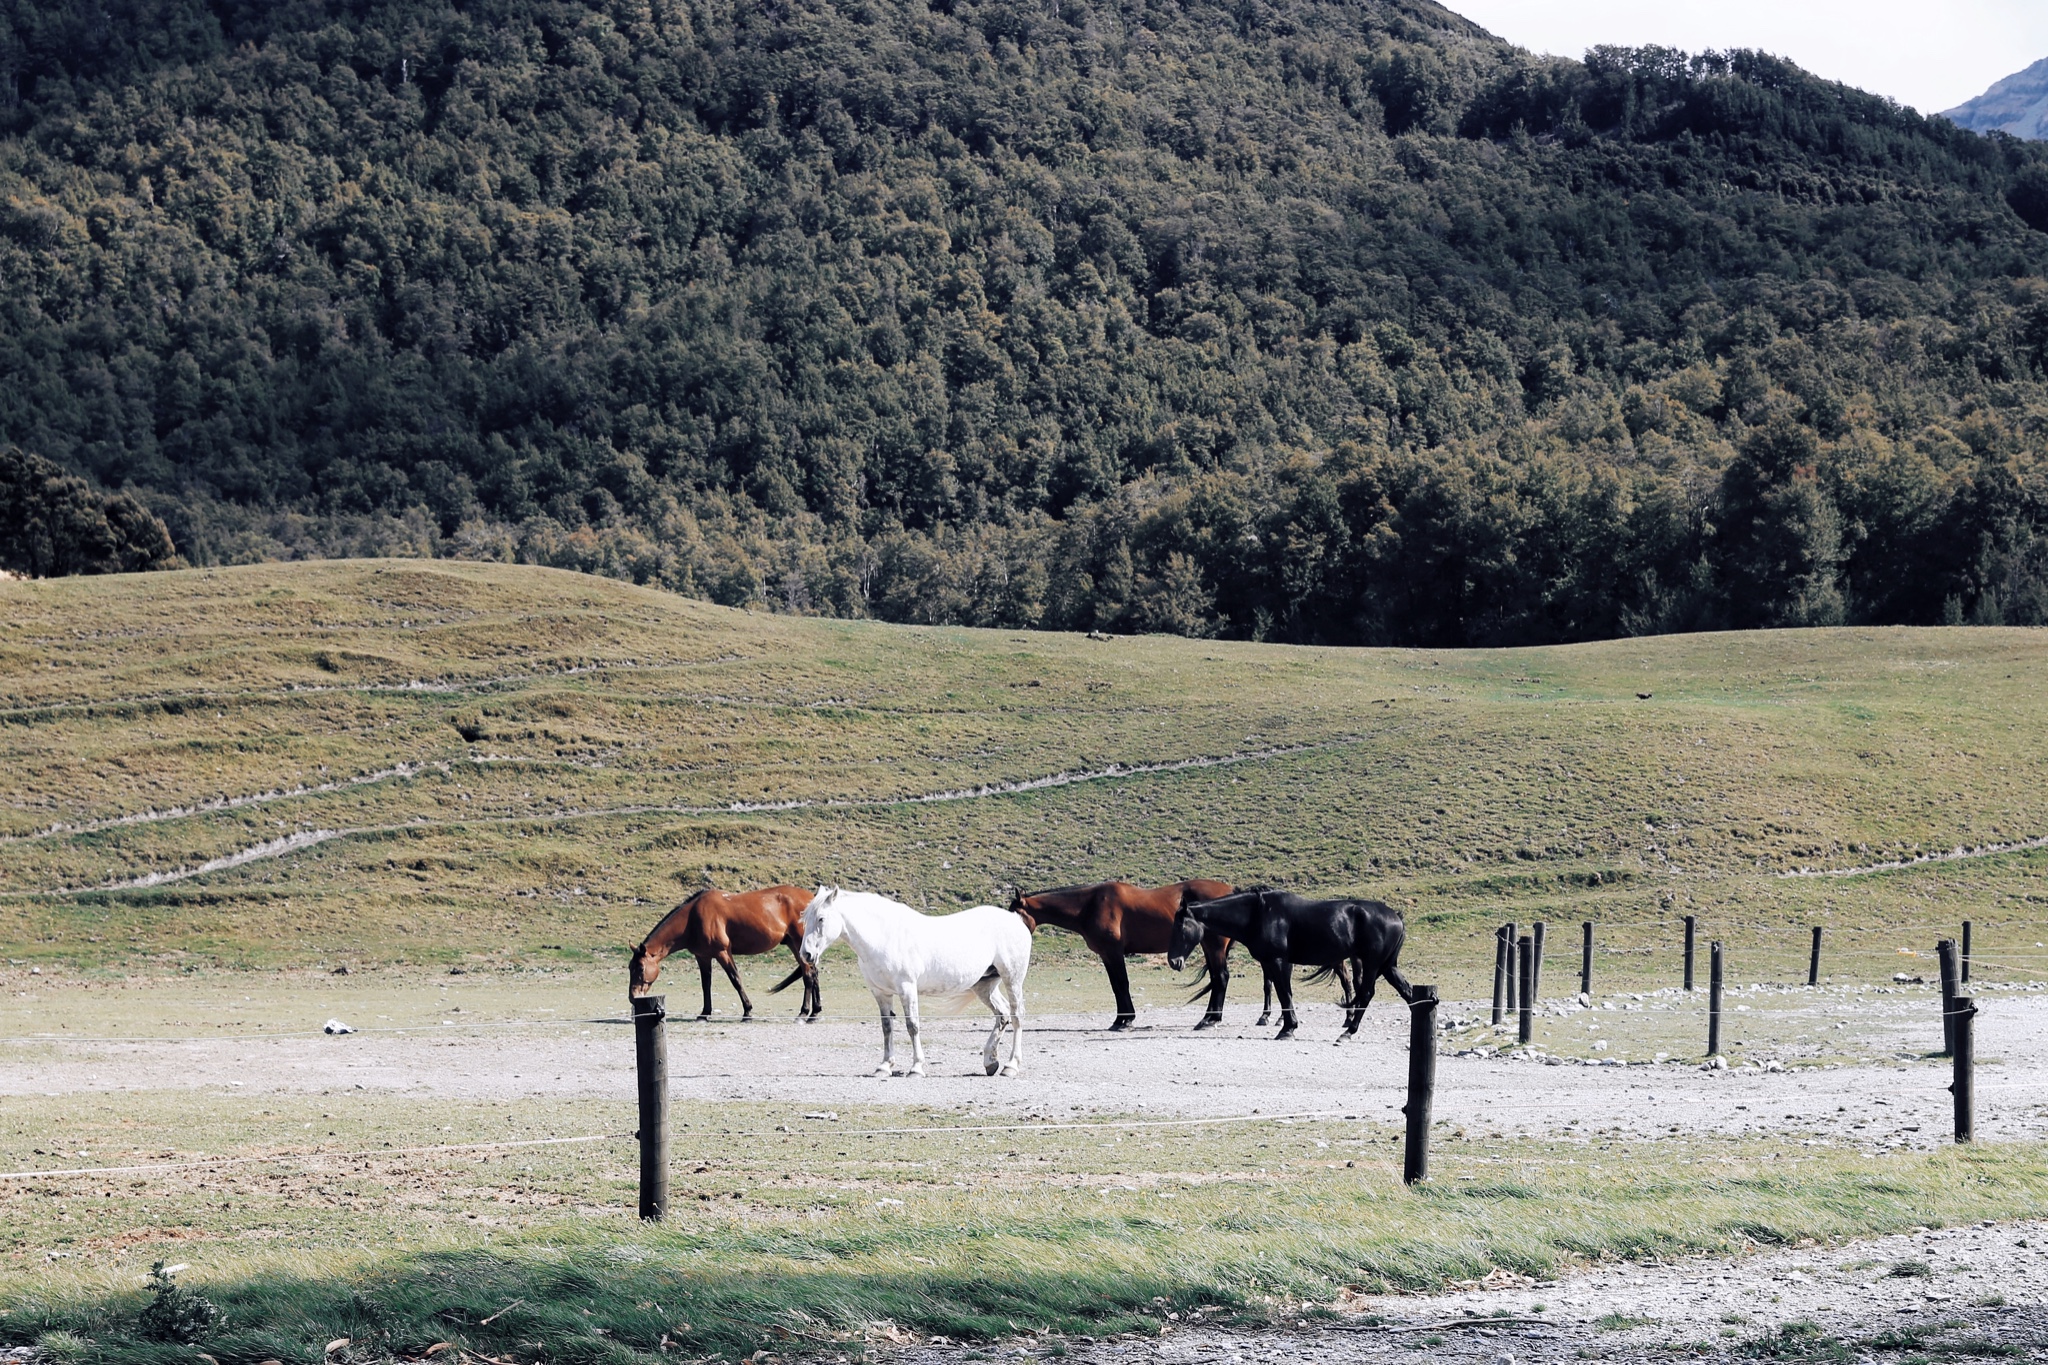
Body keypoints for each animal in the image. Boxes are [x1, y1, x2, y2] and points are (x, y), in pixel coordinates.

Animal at [626, 892, 819, 1019]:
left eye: (641, 968)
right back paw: (815, 1011)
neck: (693, 918)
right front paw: (705, 1013)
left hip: (799, 944)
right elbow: (706, 984)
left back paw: (804, 1012)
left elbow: (735, 979)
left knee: (808, 975)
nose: (632, 997)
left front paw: (747, 1010)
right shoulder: (703, 957)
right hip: (797, 946)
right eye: (630, 967)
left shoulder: (723, 952)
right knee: (813, 974)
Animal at [794, 892, 1032, 1080]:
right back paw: (990, 1062)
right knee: (1002, 1014)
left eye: (821, 918)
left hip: (1012, 978)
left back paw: (1011, 1066)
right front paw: (884, 1067)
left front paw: (916, 1068)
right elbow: (887, 1027)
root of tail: (1016, 921)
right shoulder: (881, 993)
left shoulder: (907, 988)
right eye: (805, 918)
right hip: (985, 986)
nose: (806, 954)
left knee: (1016, 1016)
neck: (884, 936)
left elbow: (912, 1026)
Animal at [1003, 879, 1245, 1031]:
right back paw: (1209, 1018)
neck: (1089, 905)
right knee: (1217, 978)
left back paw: (1210, 1020)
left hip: (1213, 946)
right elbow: (1116, 986)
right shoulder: (1106, 955)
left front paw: (1125, 1021)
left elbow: (1122, 984)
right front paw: (1121, 1020)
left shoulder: (1114, 952)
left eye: (1015, 914)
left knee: (1221, 978)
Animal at [1171, 892, 1409, 1039]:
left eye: (1181, 927)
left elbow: (1284, 994)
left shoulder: (1278, 962)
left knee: (1367, 993)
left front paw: (1287, 1029)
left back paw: (1348, 1031)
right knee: (1406, 991)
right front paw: (1286, 1025)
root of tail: (1396, 916)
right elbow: (1283, 993)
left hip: (1372, 964)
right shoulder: (1272, 963)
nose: (1174, 961)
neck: (1259, 914)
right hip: (1387, 967)